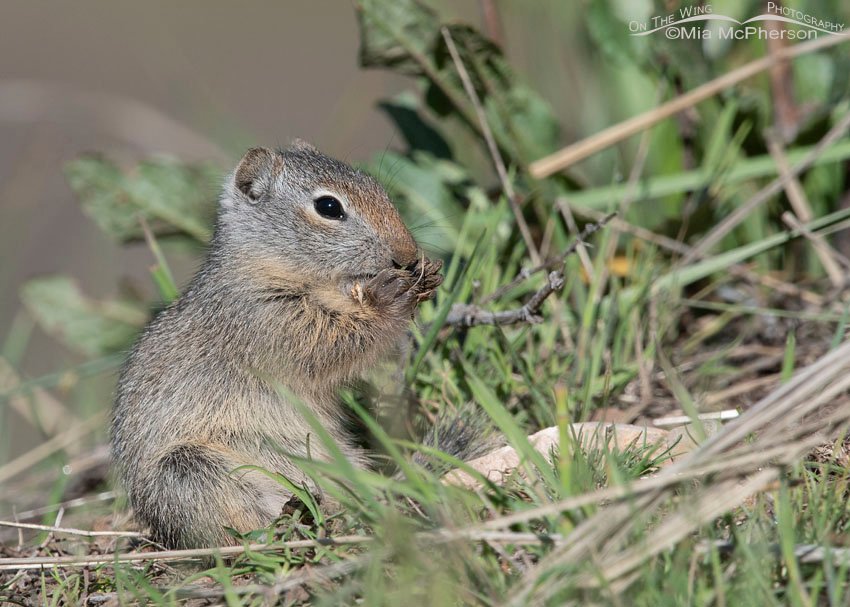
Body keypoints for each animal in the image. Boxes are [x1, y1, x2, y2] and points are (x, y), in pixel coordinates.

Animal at [111, 141, 467, 549]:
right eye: (328, 207)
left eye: (378, 187)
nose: (407, 255)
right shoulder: (267, 321)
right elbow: (335, 344)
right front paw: (389, 298)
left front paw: (427, 277)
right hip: (189, 472)